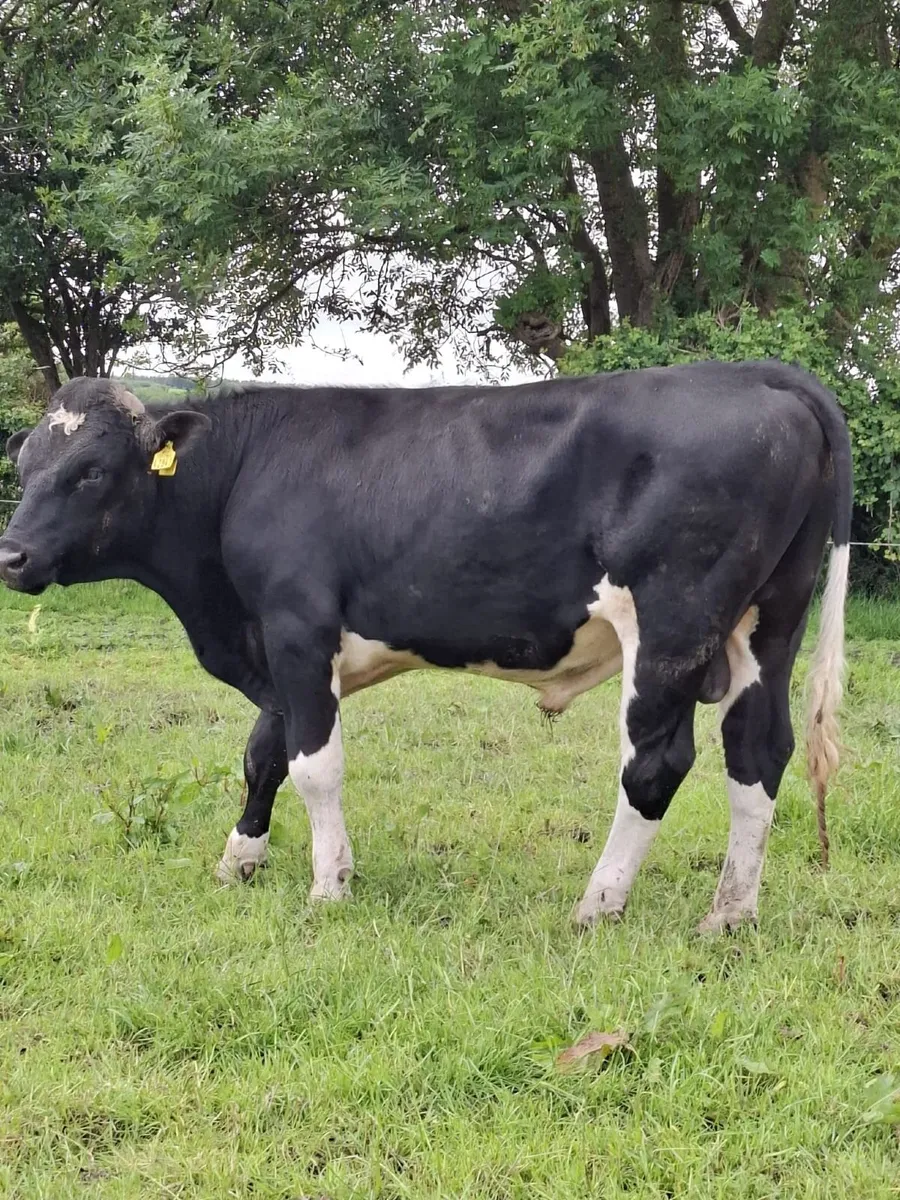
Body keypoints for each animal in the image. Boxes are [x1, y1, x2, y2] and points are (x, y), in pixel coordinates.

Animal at [0, 361, 852, 932]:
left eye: (90, 471)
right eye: (26, 464)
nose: (10, 554)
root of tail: (757, 373)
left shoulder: (297, 626)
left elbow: (313, 766)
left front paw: (329, 885)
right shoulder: (279, 646)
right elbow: (263, 752)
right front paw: (240, 860)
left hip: (673, 621)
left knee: (655, 762)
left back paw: (598, 901)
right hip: (768, 621)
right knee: (758, 751)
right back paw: (729, 914)